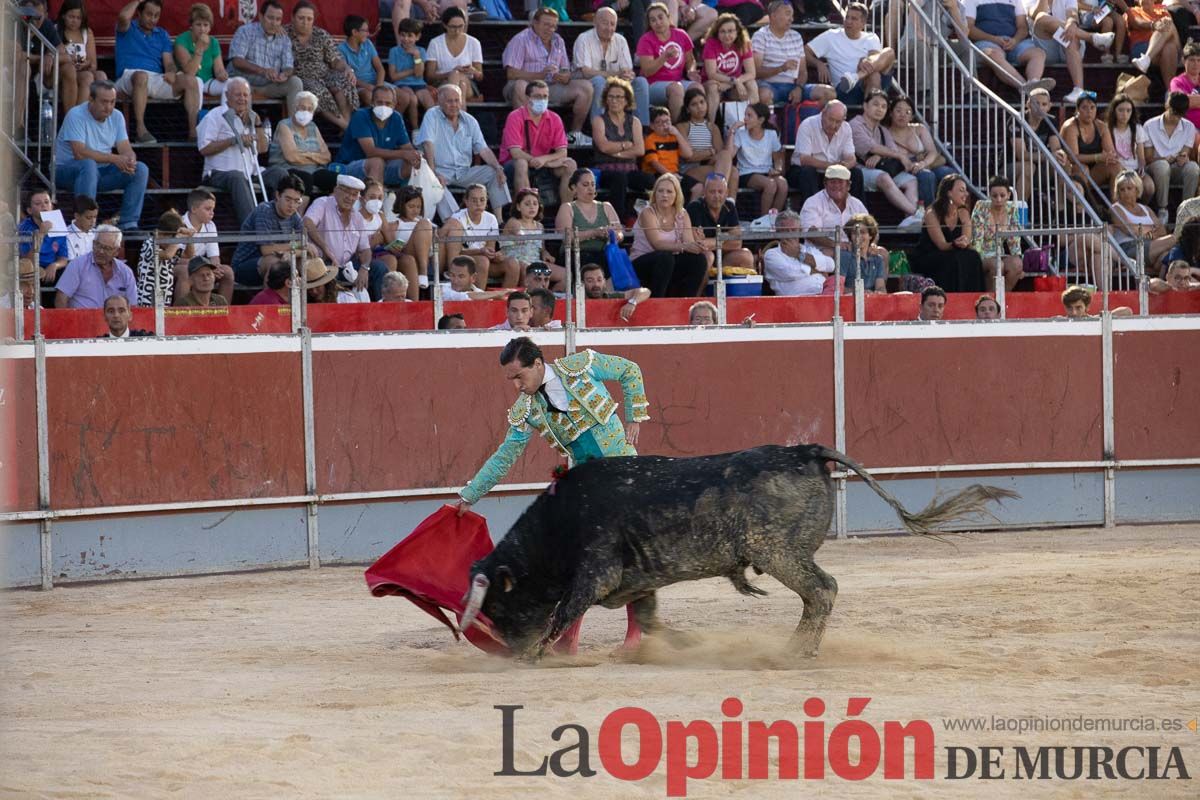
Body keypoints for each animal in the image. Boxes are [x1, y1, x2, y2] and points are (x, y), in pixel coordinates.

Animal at [458, 443, 1012, 657]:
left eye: (501, 607)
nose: (508, 653)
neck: (560, 522)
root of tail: (806, 450)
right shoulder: (638, 582)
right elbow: (651, 620)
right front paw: (683, 645)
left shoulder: (595, 575)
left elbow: (561, 615)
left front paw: (537, 657)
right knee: (819, 593)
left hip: (777, 552)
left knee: (822, 590)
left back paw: (795, 651)